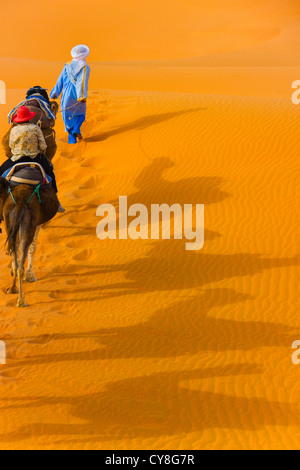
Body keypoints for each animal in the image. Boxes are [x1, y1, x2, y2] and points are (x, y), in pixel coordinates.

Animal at [0, 176, 58, 308]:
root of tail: (20, 202)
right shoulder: (37, 223)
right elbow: (33, 247)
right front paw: (31, 276)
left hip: (9, 221)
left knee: (16, 259)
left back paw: (13, 289)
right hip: (28, 223)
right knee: (21, 263)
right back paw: (21, 301)